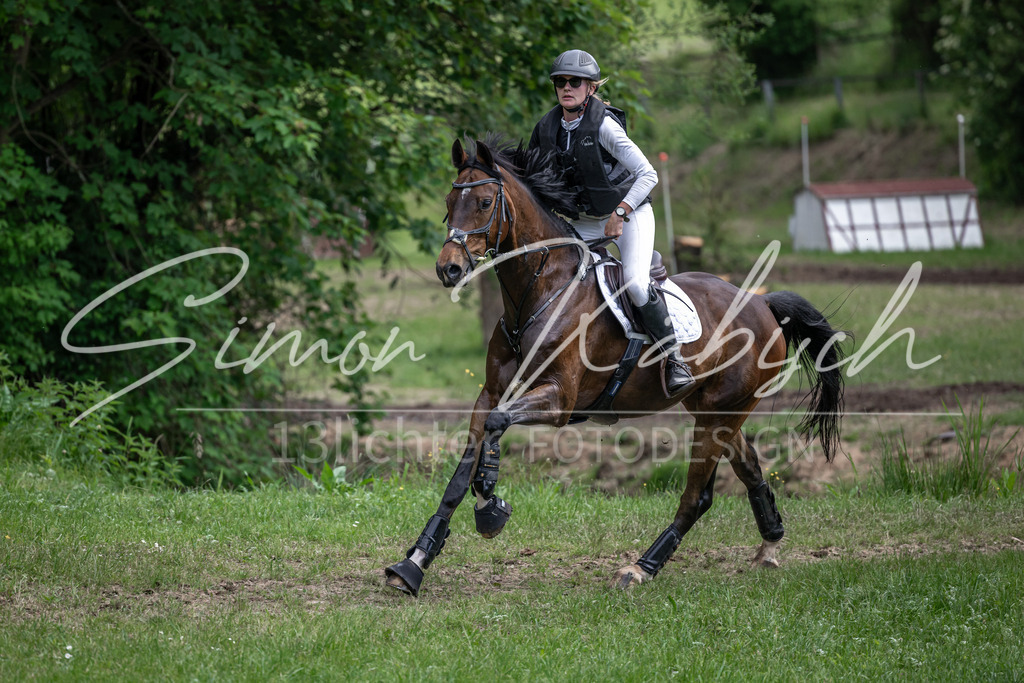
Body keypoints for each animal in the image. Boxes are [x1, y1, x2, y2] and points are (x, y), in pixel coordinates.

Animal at [384, 137, 848, 596]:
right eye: (449, 202)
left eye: (483, 203)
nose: (449, 269)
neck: (539, 292)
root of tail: (761, 302)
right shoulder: (491, 393)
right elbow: (461, 472)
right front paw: (415, 562)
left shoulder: (559, 400)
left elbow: (497, 427)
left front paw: (489, 504)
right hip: (717, 410)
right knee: (748, 469)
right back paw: (769, 547)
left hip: (720, 413)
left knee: (697, 496)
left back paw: (641, 567)